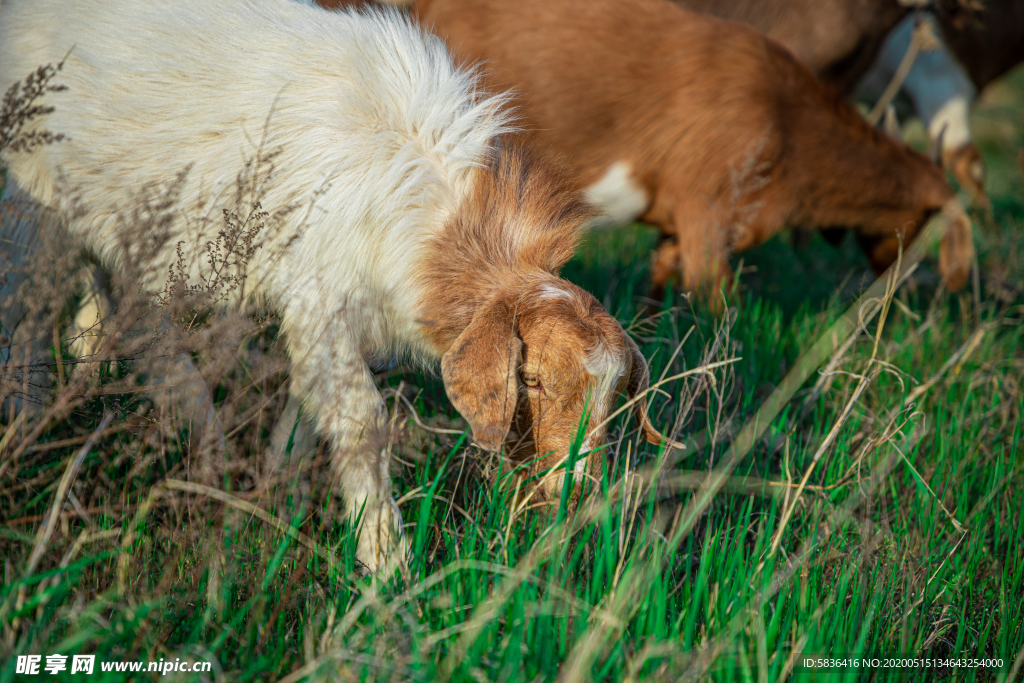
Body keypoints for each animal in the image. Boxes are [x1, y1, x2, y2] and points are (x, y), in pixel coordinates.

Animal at [411, 0, 970, 296]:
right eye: (922, 226)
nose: (896, 289)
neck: (789, 119)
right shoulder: (708, 211)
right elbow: (715, 308)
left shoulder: (676, 225)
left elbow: (659, 290)